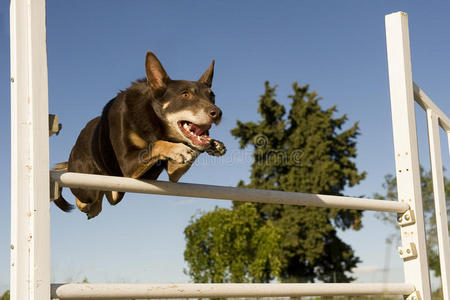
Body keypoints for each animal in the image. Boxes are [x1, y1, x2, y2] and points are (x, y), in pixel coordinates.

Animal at [53, 51, 225, 219]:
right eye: (185, 94)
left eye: (212, 96)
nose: (217, 113)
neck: (153, 118)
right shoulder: (127, 163)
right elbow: (157, 144)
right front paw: (178, 149)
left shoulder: (173, 172)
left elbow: (187, 152)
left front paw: (213, 145)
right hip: (87, 187)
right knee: (84, 198)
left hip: (115, 187)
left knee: (107, 196)